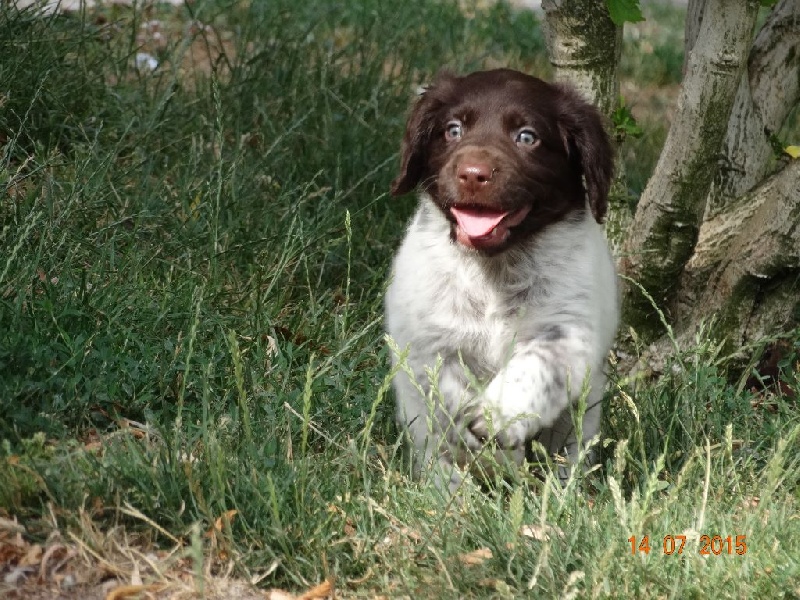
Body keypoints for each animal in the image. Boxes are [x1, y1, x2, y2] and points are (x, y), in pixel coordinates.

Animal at [382, 70, 620, 492]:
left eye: (527, 137)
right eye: (453, 130)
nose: (472, 174)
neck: (494, 269)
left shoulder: (570, 330)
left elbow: (535, 367)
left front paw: (497, 418)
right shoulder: (430, 341)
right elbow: (449, 399)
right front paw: (484, 450)